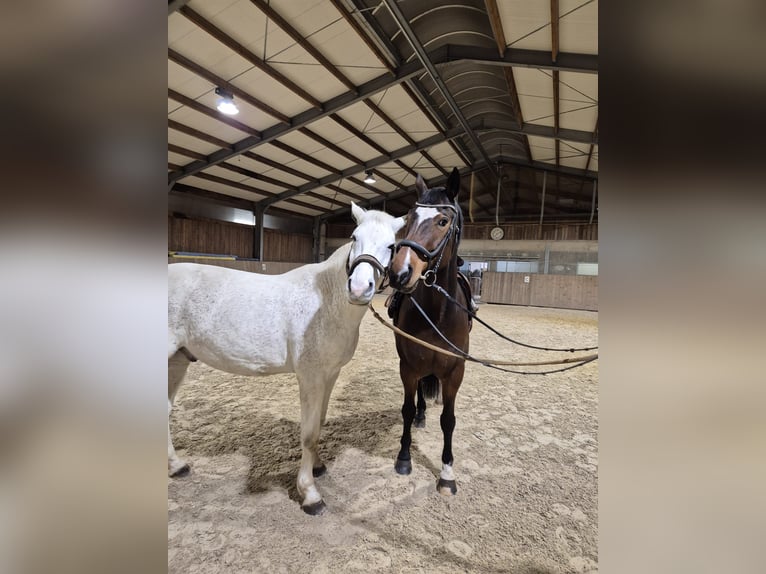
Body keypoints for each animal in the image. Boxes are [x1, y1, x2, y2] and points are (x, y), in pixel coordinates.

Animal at [170, 205, 408, 516]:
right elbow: (308, 433)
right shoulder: (310, 377)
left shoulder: (330, 375)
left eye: (392, 246)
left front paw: (318, 467)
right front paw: (310, 494)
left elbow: (319, 422)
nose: (358, 288)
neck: (328, 302)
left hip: (177, 361)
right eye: (354, 236)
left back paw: (177, 466)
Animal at [390, 169, 474, 498]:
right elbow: (407, 409)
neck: (437, 312)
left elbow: (449, 420)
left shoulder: (455, 372)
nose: (399, 273)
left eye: (443, 221)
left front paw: (447, 473)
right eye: (409, 217)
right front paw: (404, 458)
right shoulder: (408, 366)